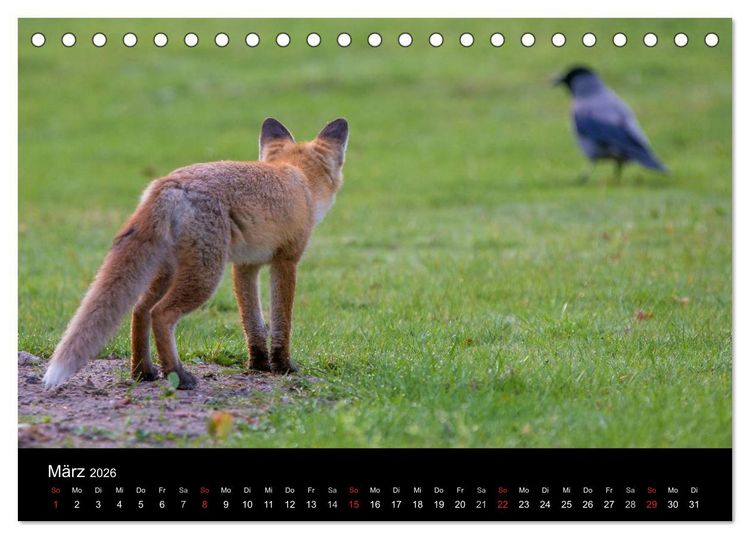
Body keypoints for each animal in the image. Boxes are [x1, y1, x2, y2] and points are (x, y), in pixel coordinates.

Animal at [42, 117, 349, 390]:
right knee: (160, 314)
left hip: (170, 270)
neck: (298, 178)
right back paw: (177, 375)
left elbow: (253, 323)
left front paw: (259, 365)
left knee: (140, 310)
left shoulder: (245, 266)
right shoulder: (286, 261)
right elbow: (281, 322)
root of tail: (170, 181)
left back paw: (144, 372)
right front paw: (283, 367)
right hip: (205, 276)